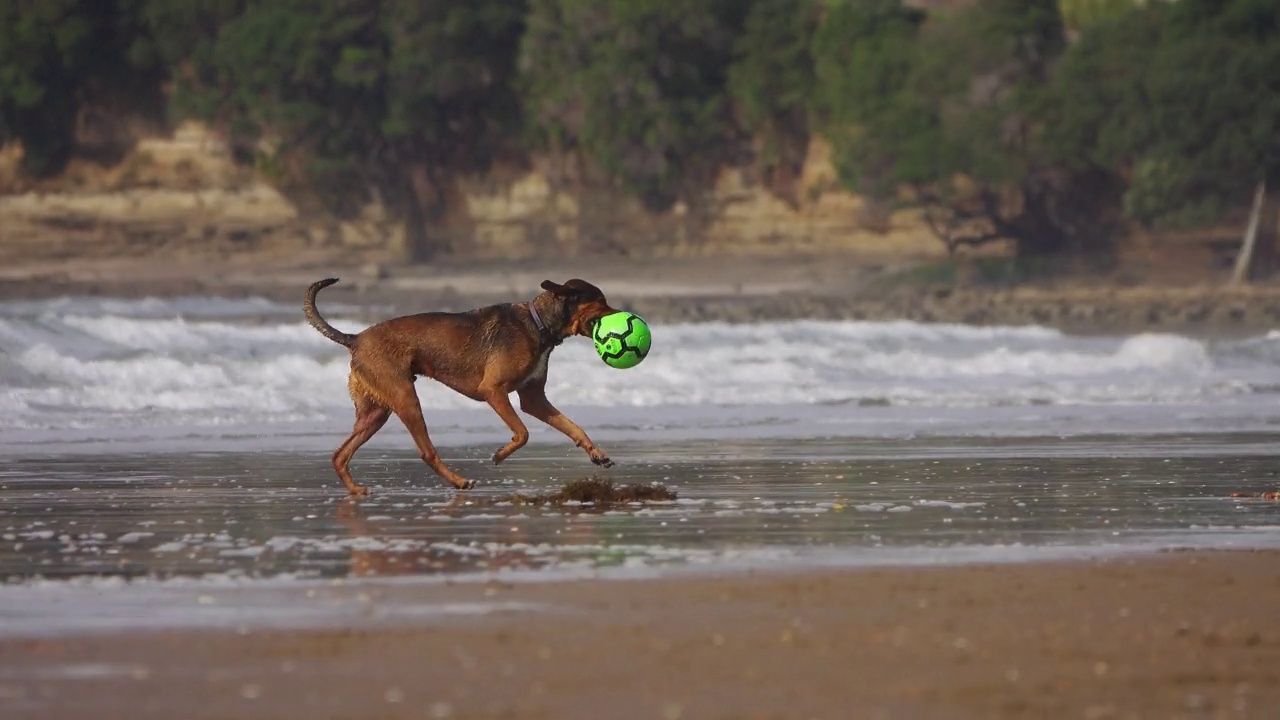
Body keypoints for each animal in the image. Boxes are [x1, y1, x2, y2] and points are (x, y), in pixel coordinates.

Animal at [302, 275, 616, 491]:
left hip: (376, 412)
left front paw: (596, 454)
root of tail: (354, 339)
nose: (622, 315)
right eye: (602, 301)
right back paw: (459, 481)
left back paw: (355, 491)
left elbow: (573, 426)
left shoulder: (534, 399)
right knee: (426, 452)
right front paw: (500, 455)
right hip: (406, 399)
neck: (539, 323)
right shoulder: (494, 391)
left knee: (340, 455)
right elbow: (523, 433)